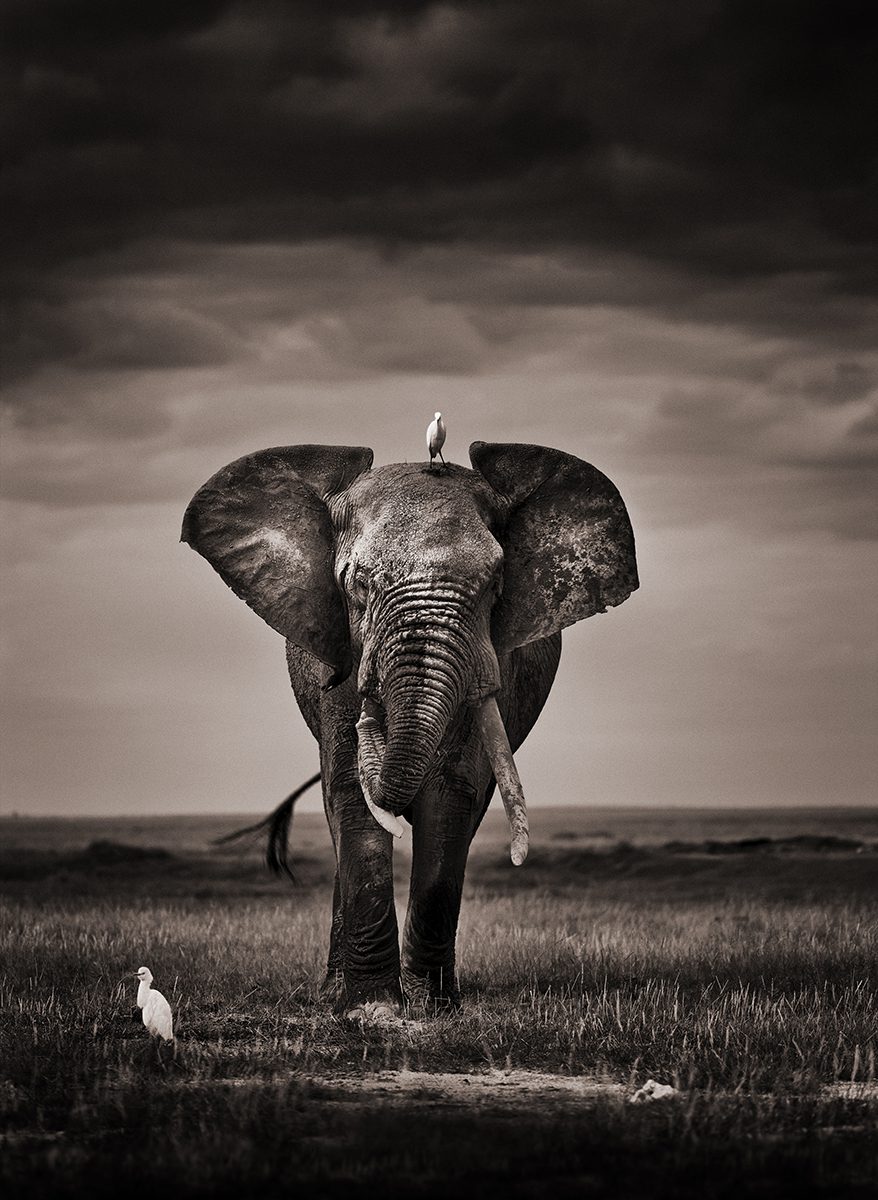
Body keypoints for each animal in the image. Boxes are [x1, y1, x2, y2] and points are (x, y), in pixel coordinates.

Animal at [183, 436, 638, 1017]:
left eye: (496, 583)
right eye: (355, 582)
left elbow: (451, 794)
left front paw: (430, 1007)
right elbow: (351, 794)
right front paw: (372, 1009)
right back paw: (334, 991)